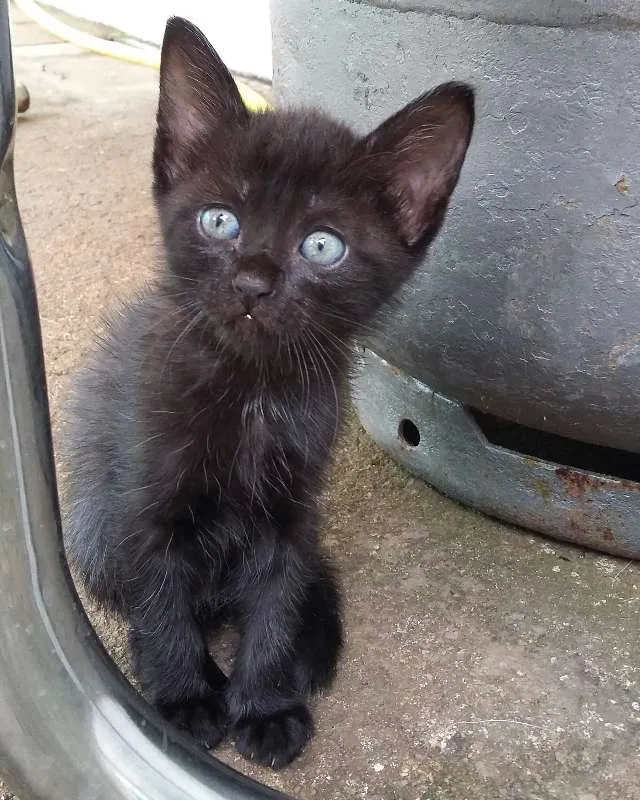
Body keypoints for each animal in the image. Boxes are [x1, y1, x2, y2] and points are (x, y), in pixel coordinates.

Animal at [65, 17, 476, 768]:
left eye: (321, 246)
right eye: (220, 221)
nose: (253, 283)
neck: (250, 393)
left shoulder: (293, 511)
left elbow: (278, 600)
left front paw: (266, 705)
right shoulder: (144, 501)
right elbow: (160, 600)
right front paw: (184, 700)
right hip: (91, 522)